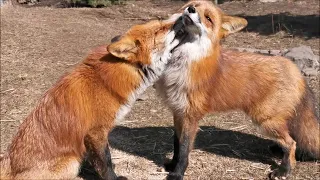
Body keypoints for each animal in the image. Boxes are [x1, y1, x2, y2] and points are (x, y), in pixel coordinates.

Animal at [0, 14, 188, 180]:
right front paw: (113, 178)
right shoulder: (96, 132)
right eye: (160, 29)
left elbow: (98, 161)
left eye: (162, 22)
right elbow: (106, 162)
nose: (186, 14)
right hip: (71, 164)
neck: (106, 80)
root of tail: (7, 164)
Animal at [154, 0, 318, 179]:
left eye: (208, 18)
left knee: (291, 143)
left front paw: (178, 173)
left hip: (265, 120)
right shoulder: (177, 112)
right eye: (194, 4)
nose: (190, 9)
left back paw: (284, 170)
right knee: (291, 138)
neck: (182, 61)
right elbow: (176, 145)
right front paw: (172, 165)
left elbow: (184, 150)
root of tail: (294, 68)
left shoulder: (190, 116)